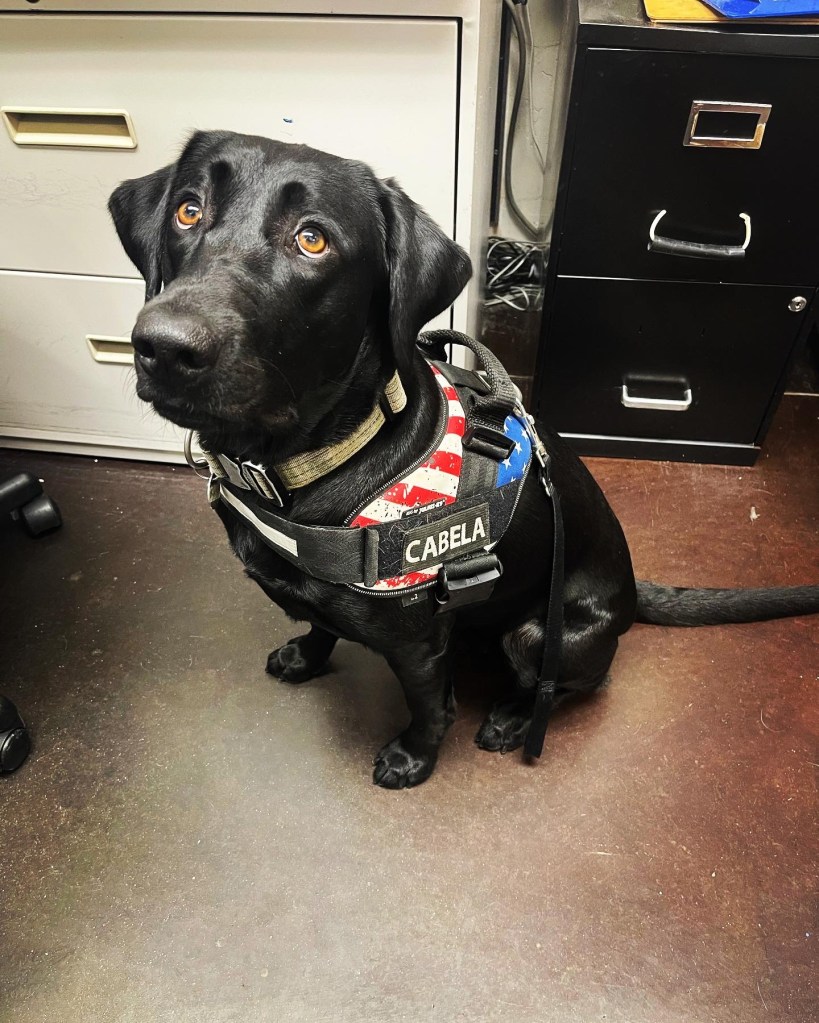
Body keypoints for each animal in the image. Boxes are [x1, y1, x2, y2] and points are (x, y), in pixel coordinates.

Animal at [108, 130, 819, 788]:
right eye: (189, 210)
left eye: (312, 240)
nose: (163, 346)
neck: (304, 463)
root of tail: (631, 588)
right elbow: (319, 623)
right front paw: (306, 656)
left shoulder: (419, 644)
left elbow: (431, 708)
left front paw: (413, 759)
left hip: (540, 635)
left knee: (574, 685)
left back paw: (512, 717)